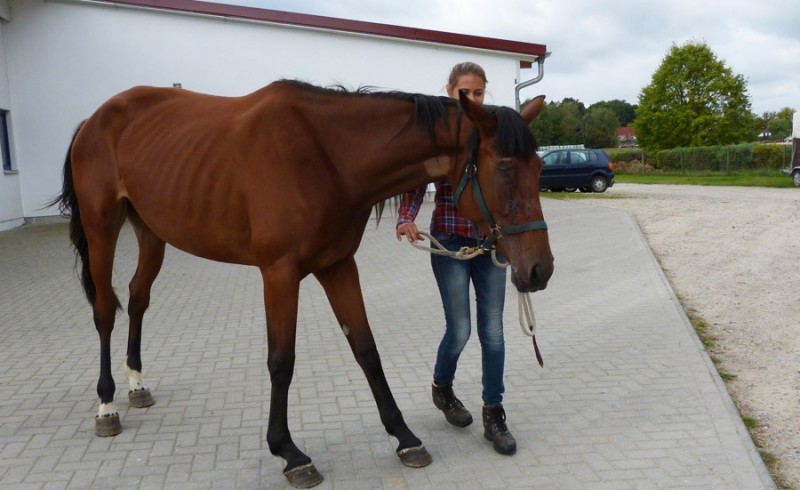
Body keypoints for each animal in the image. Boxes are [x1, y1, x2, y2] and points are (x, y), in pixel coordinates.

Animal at [53, 80, 552, 486]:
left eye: (539, 169)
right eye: (504, 168)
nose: (540, 270)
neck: (327, 156)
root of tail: (94, 119)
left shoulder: (338, 266)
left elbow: (367, 351)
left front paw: (404, 436)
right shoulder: (279, 273)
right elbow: (282, 361)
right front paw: (290, 453)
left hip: (152, 231)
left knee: (137, 297)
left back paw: (137, 384)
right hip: (102, 228)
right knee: (105, 310)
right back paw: (107, 405)